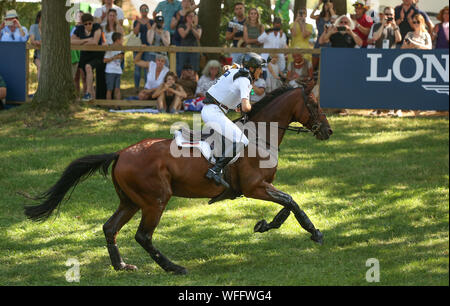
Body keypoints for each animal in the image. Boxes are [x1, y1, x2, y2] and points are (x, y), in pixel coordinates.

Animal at [24, 86, 334, 274]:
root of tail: (121, 153)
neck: (260, 136)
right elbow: (291, 202)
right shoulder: (255, 187)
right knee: (143, 236)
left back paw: (122, 266)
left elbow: (288, 205)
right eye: (314, 104)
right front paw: (314, 233)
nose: (328, 131)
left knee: (110, 227)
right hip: (155, 201)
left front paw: (266, 225)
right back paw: (174, 268)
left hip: (130, 201)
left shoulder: (261, 187)